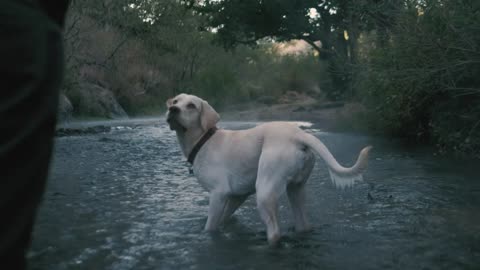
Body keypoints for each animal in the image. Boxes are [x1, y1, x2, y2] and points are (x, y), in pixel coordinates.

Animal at [165, 94, 372, 246]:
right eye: (175, 102)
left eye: (191, 105)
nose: (172, 109)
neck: (203, 141)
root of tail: (299, 135)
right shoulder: (237, 196)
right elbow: (224, 218)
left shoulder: (218, 194)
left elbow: (210, 226)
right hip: (296, 191)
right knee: (303, 224)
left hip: (265, 192)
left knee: (275, 233)